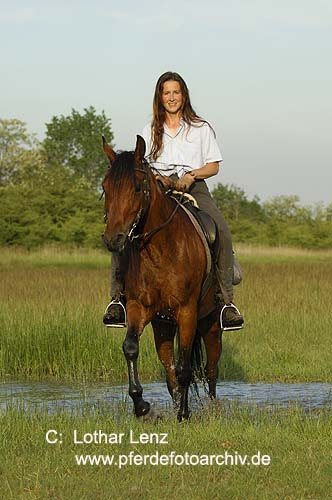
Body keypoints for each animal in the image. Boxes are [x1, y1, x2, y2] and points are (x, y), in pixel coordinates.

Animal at [102, 135, 222, 420]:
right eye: (105, 187)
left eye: (136, 188)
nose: (113, 239)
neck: (160, 250)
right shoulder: (139, 308)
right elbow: (131, 348)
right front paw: (141, 405)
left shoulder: (187, 312)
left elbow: (186, 367)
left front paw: (184, 415)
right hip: (163, 326)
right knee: (170, 369)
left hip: (210, 322)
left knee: (211, 368)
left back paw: (211, 410)